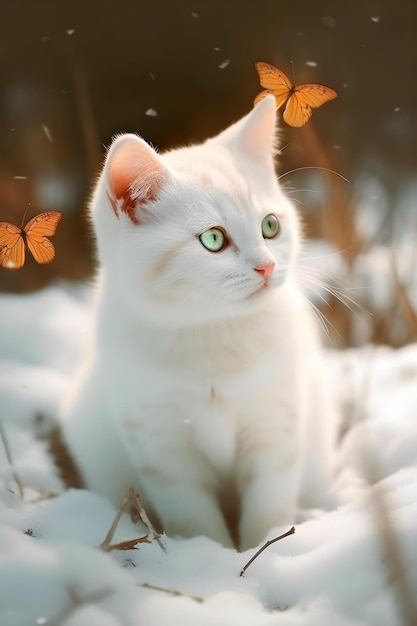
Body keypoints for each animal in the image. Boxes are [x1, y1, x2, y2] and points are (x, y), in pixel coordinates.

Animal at [61, 95, 334, 548]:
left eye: (271, 225)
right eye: (213, 239)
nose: (267, 267)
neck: (213, 332)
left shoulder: (276, 418)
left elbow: (269, 498)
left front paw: (261, 548)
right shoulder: (159, 441)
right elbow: (191, 514)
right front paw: (210, 554)